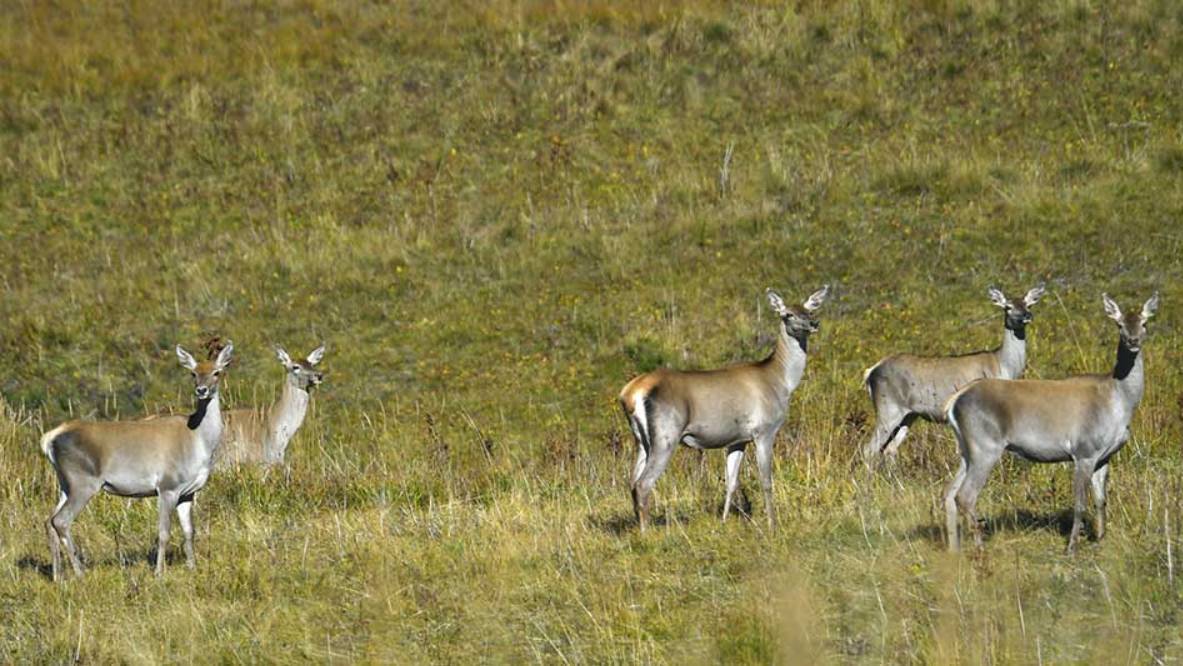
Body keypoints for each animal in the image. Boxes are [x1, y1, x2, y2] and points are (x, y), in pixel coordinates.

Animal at [39, 343, 233, 579]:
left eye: (217, 372)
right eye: (193, 373)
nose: (202, 390)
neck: (199, 442)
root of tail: (50, 438)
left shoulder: (188, 492)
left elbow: (189, 531)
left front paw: (192, 568)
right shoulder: (167, 486)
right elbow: (163, 532)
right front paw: (159, 573)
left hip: (65, 483)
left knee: (49, 521)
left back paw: (58, 576)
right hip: (83, 482)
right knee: (61, 520)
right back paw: (79, 573)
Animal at [619, 285, 832, 532]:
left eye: (809, 310)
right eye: (787, 314)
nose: (813, 323)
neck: (780, 381)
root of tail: (630, 393)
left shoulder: (738, 439)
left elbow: (730, 482)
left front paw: (722, 521)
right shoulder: (764, 430)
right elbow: (766, 481)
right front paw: (772, 525)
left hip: (642, 440)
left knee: (632, 481)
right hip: (666, 434)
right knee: (643, 483)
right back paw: (647, 532)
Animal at [861, 283, 1045, 466]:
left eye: (1028, 305)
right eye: (1008, 307)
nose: (1026, 316)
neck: (1003, 365)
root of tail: (872, 371)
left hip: (909, 414)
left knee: (889, 449)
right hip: (888, 406)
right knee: (869, 449)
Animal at [946, 292, 1159, 553]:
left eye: (1144, 322)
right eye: (1119, 324)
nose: (1133, 340)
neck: (1118, 402)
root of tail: (955, 400)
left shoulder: (1105, 456)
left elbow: (1101, 501)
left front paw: (1100, 540)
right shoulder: (1083, 450)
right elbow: (1080, 504)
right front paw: (1071, 548)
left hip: (967, 449)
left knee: (950, 492)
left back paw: (955, 549)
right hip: (985, 445)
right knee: (965, 495)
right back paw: (979, 549)